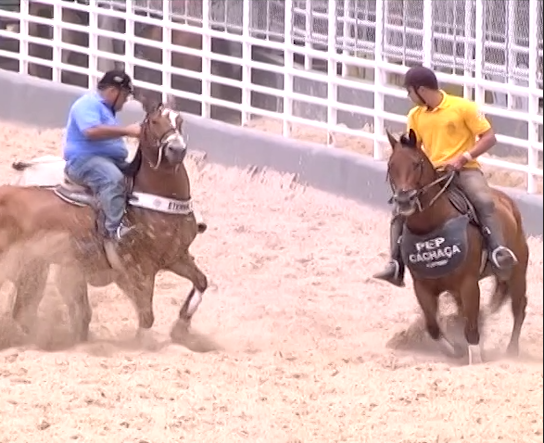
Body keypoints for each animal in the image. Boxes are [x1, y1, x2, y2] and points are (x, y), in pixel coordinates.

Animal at [3, 99, 208, 346]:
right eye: (153, 121)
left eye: (180, 120)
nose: (176, 149)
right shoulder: (139, 269)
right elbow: (146, 315)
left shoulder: (177, 257)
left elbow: (201, 282)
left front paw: (181, 328)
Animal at [384, 128, 528, 364]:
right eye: (390, 165)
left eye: (416, 163)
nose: (404, 200)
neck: (432, 225)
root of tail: (508, 203)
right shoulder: (423, 287)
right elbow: (433, 327)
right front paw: (457, 351)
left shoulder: (468, 284)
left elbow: (471, 329)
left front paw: (475, 359)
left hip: (517, 272)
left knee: (519, 308)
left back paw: (512, 351)